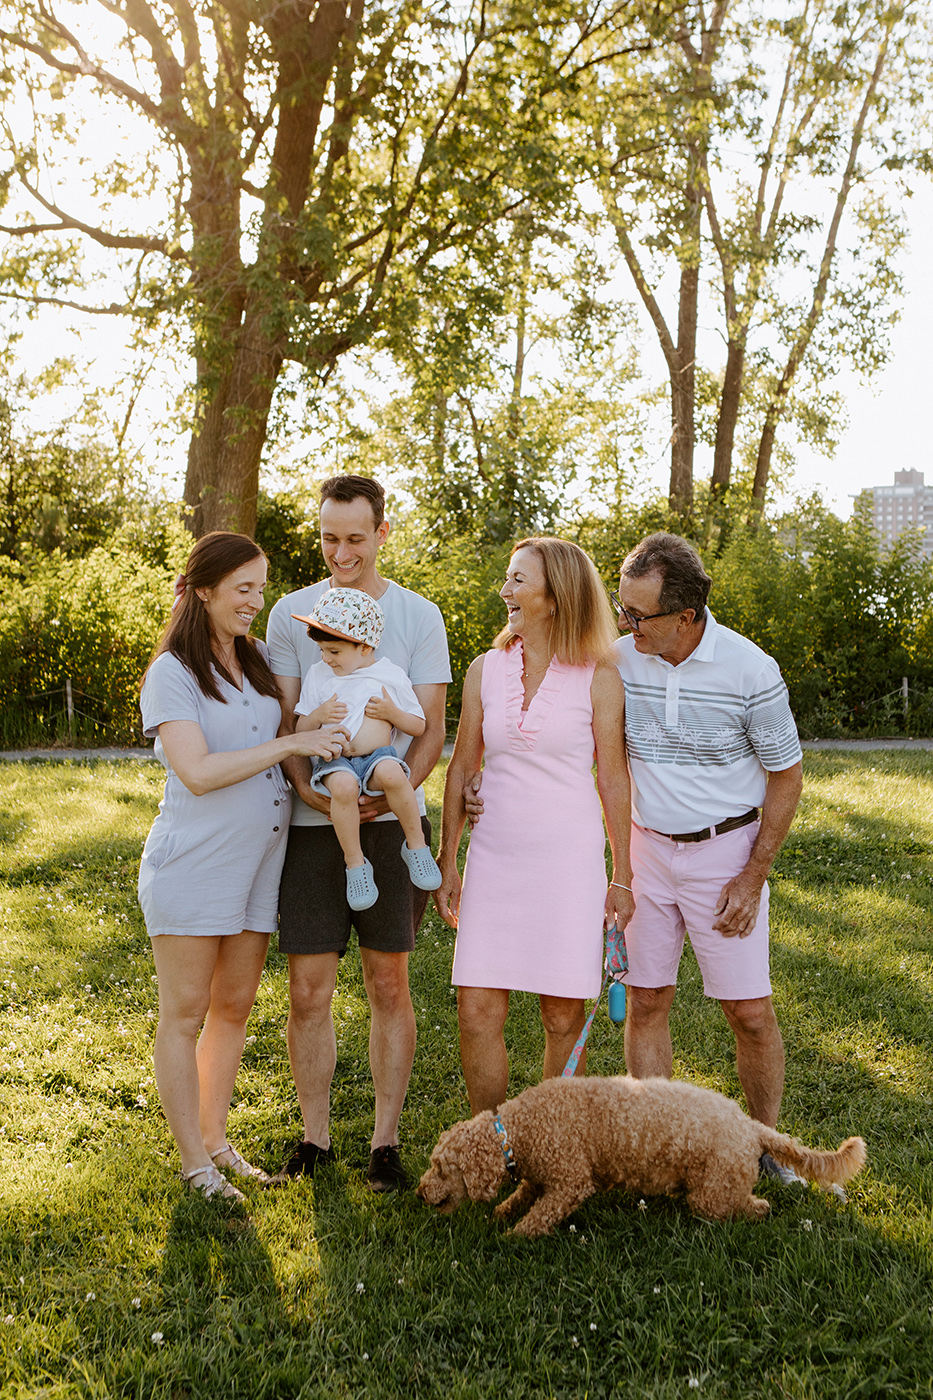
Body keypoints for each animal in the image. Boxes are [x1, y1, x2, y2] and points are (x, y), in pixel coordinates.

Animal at [414, 1069, 862, 1237]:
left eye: (441, 1168)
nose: (418, 1192)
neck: (519, 1130)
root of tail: (750, 1125)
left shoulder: (572, 1183)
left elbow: (539, 1216)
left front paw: (513, 1237)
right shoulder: (541, 1175)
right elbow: (523, 1193)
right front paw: (504, 1211)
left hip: (714, 1191)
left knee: (746, 1206)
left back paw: (758, 1209)